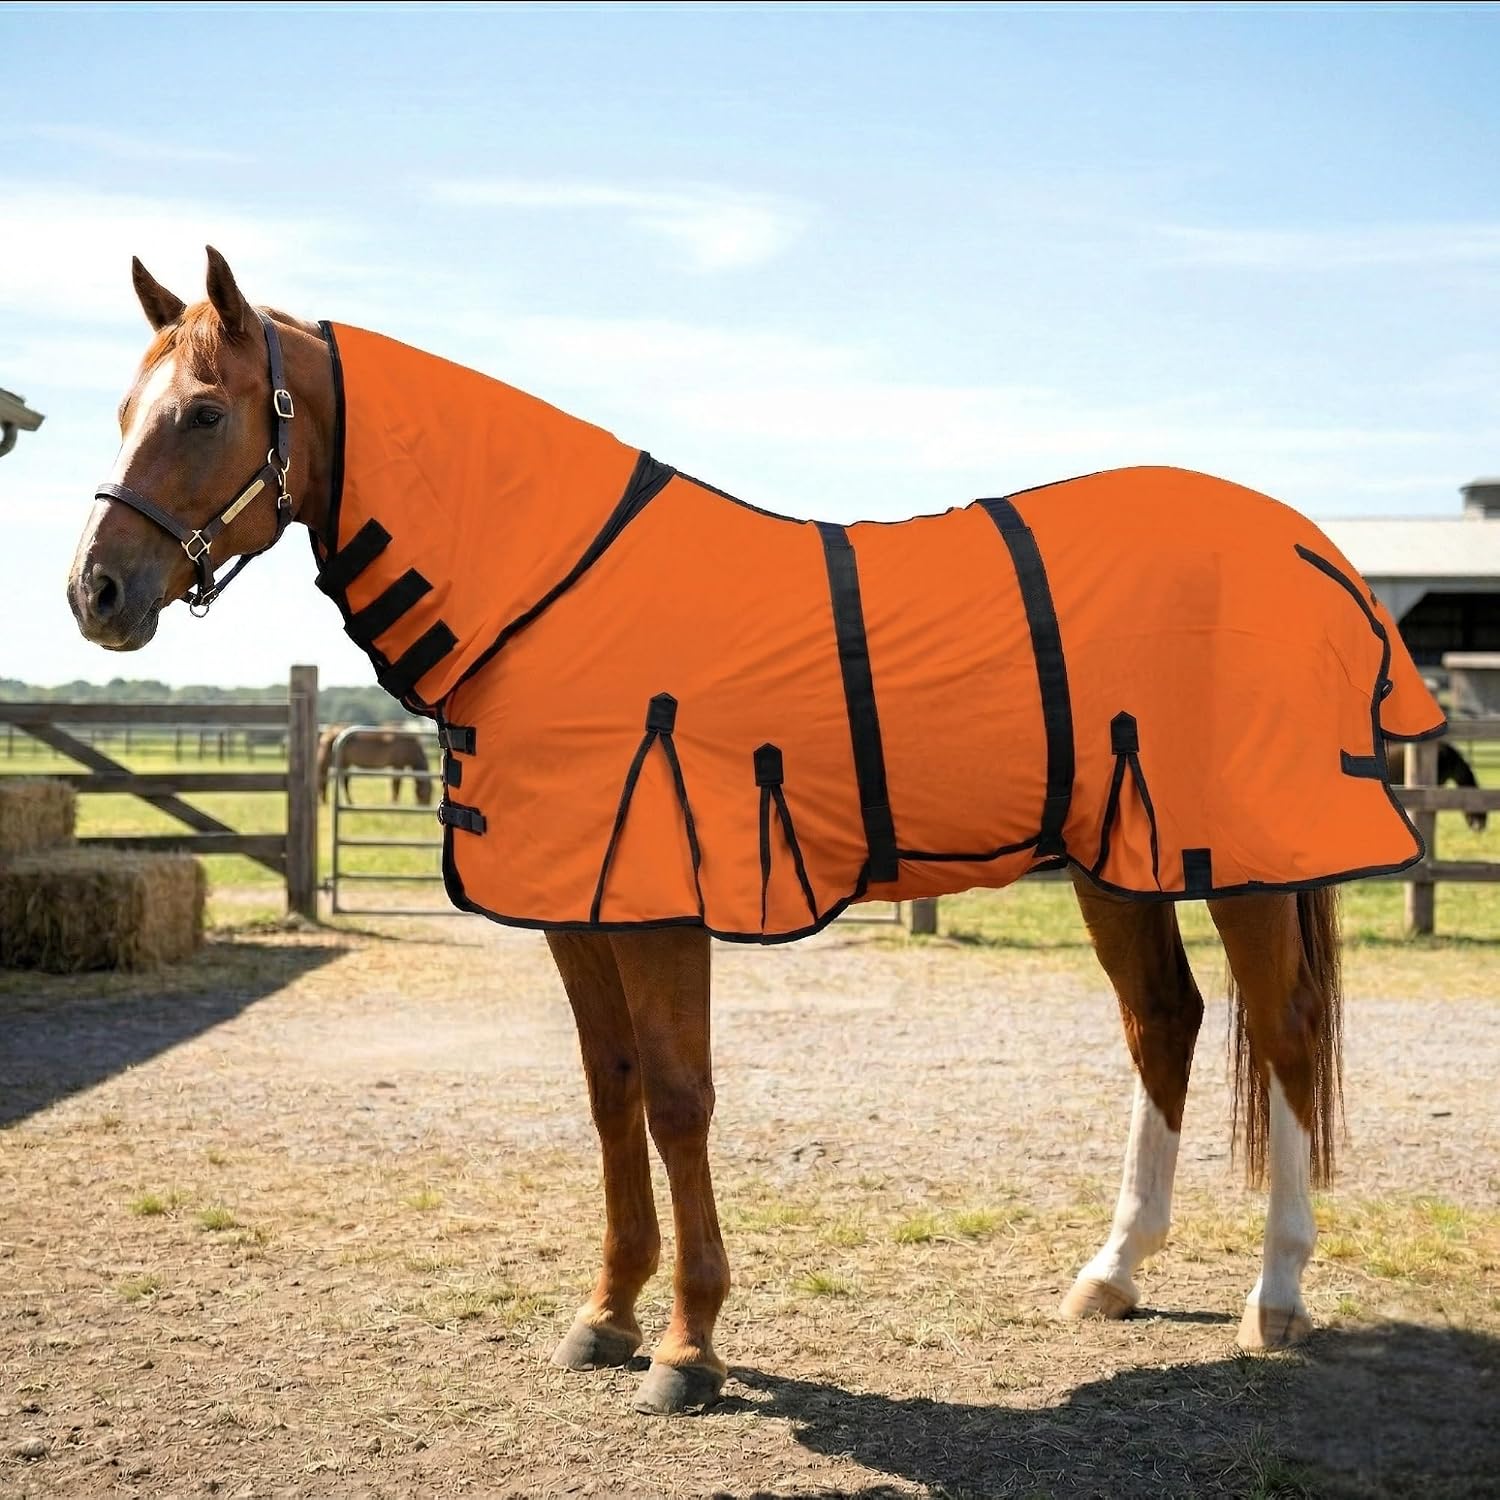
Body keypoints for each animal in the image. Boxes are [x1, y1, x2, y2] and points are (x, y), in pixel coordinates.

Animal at [66, 247, 1378, 1415]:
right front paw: (607, 1315)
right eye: (124, 410)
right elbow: (612, 1095)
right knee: (1166, 1022)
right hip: (1122, 864)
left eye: (201, 412)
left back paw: (1277, 1294)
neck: (554, 590)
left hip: (1247, 867)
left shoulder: (661, 908)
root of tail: (1300, 542)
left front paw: (689, 1347)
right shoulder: (577, 913)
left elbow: (680, 1100)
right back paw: (1114, 1273)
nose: (96, 593)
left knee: (1288, 1034)